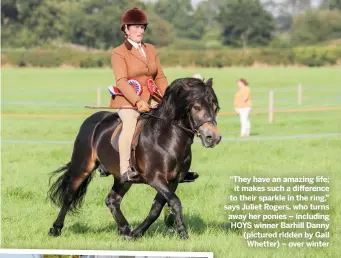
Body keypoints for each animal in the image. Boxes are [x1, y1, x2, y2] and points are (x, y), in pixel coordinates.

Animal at [49, 76, 222, 240]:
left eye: (215, 108)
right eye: (197, 107)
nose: (213, 138)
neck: (166, 138)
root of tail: (92, 120)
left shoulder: (172, 181)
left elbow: (156, 208)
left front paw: (138, 232)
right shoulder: (155, 178)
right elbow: (175, 202)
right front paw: (183, 233)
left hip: (122, 178)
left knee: (112, 200)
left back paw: (125, 230)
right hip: (83, 167)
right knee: (69, 196)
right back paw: (56, 229)